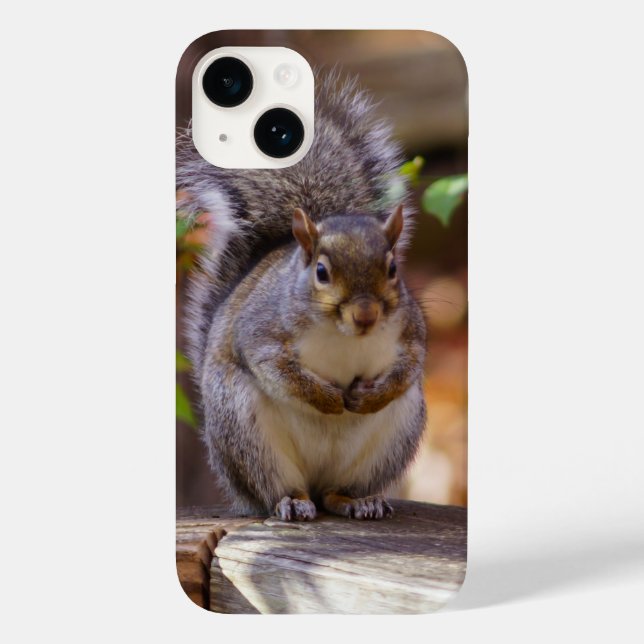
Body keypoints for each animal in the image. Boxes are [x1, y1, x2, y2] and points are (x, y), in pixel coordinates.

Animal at [177, 71, 427, 521]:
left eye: (393, 269)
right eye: (322, 272)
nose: (365, 315)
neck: (345, 336)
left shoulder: (411, 331)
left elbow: (410, 366)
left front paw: (368, 396)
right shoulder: (260, 331)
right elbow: (277, 368)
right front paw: (327, 399)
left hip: (393, 436)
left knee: (334, 493)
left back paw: (359, 501)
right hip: (244, 431)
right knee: (277, 488)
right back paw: (292, 502)